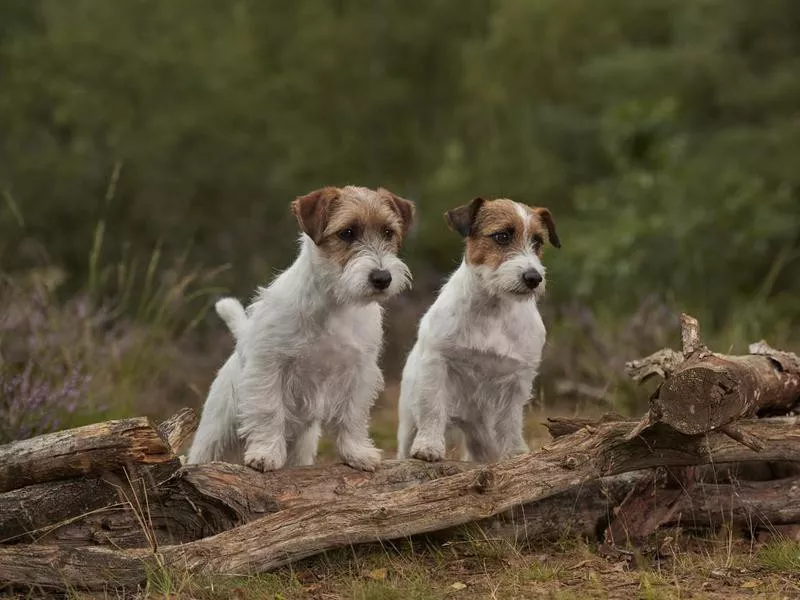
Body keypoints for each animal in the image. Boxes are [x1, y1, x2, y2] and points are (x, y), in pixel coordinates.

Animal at [190, 185, 416, 472]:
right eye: (347, 232)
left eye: (388, 232)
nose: (382, 278)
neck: (335, 304)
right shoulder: (269, 367)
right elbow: (269, 411)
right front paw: (266, 453)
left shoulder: (359, 371)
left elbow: (352, 416)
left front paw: (356, 453)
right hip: (214, 433)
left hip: (304, 444)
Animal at [396, 197, 560, 464]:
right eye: (502, 236)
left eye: (537, 241)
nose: (533, 278)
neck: (493, 310)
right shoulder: (437, 364)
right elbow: (432, 409)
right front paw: (429, 446)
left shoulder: (518, 378)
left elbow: (510, 421)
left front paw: (515, 453)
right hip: (409, 421)